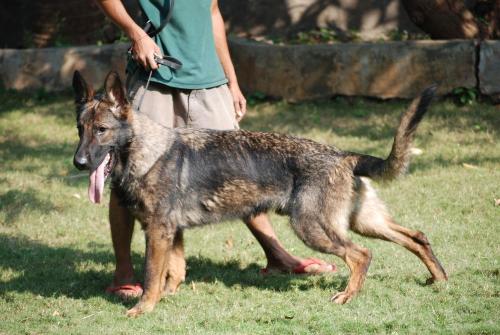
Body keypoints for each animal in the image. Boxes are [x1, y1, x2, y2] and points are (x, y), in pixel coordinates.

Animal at [72, 71, 448, 318]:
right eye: (80, 129)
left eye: (101, 130)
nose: (78, 162)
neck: (147, 151)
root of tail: (343, 155)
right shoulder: (171, 233)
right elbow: (173, 272)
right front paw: (165, 298)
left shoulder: (158, 232)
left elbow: (153, 273)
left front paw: (143, 307)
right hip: (363, 222)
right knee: (416, 236)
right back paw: (439, 279)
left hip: (314, 229)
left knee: (362, 255)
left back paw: (347, 296)